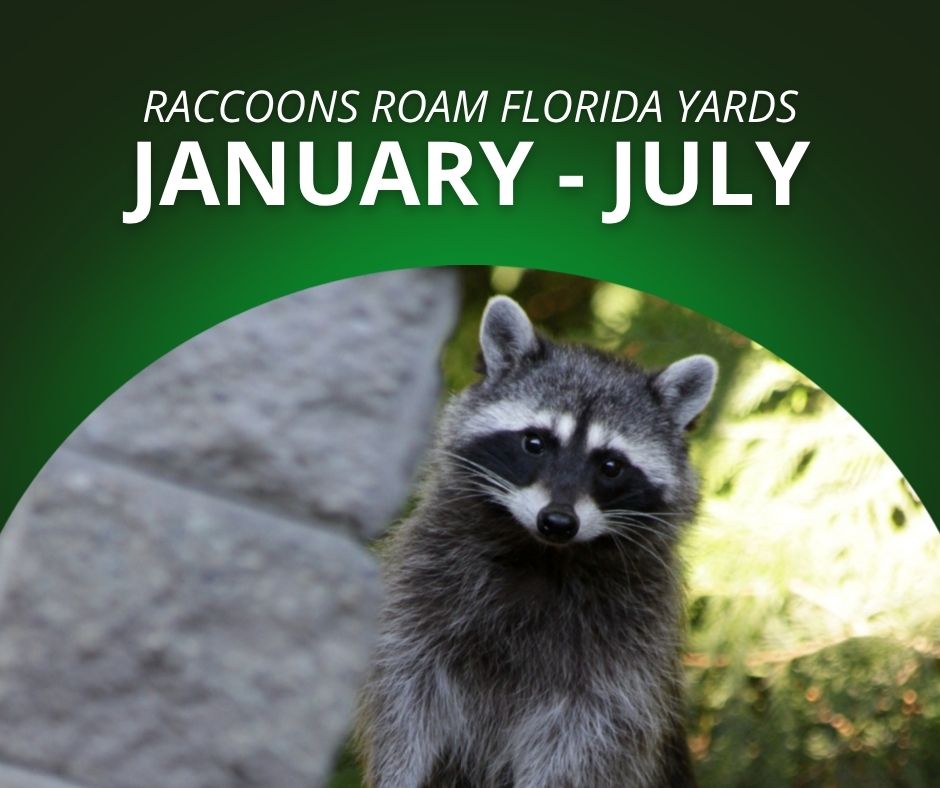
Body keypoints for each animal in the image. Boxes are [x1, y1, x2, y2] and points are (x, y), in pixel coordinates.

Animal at [357, 295, 717, 788]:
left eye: (610, 466)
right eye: (535, 442)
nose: (558, 521)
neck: (543, 553)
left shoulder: (622, 662)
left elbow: (582, 747)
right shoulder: (421, 596)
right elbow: (407, 706)